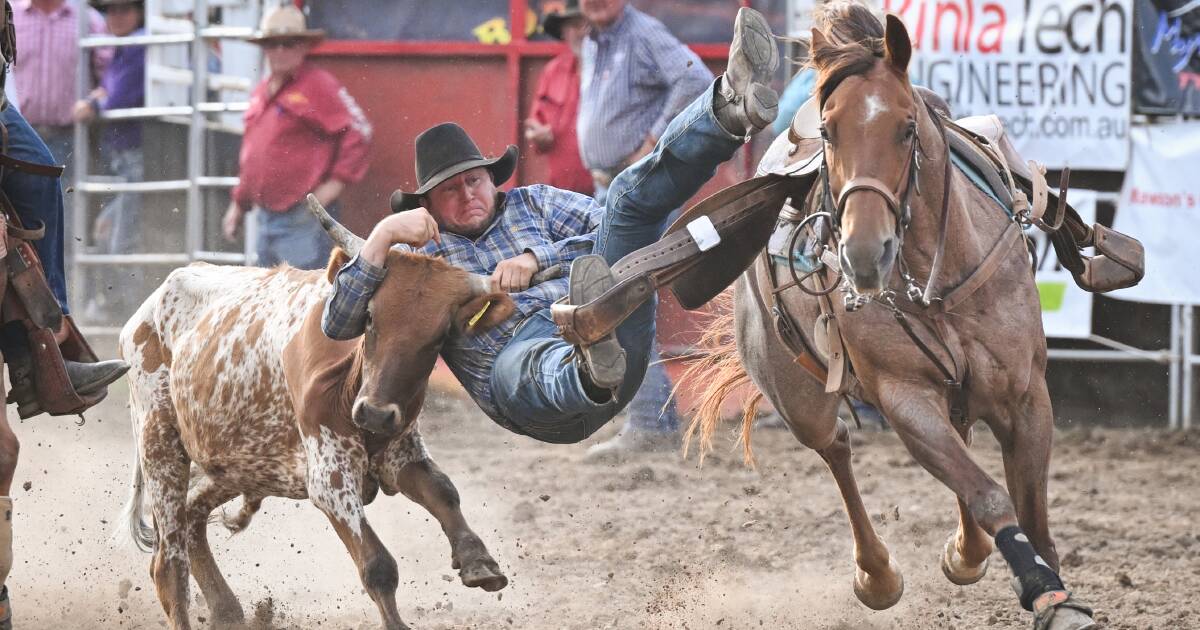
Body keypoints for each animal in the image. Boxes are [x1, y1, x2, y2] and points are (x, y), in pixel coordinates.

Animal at [696, 9, 1099, 628]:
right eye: (829, 132)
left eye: (907, 128)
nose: (865, 253)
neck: (937, 282)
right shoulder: (907, 400)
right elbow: (989, 494)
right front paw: (1041, 588)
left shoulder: (1026, 395)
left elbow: (1030, 510)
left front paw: (1055, 596)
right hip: (797, 395)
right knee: (836, 446)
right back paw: (880, 574)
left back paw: (967, 552)